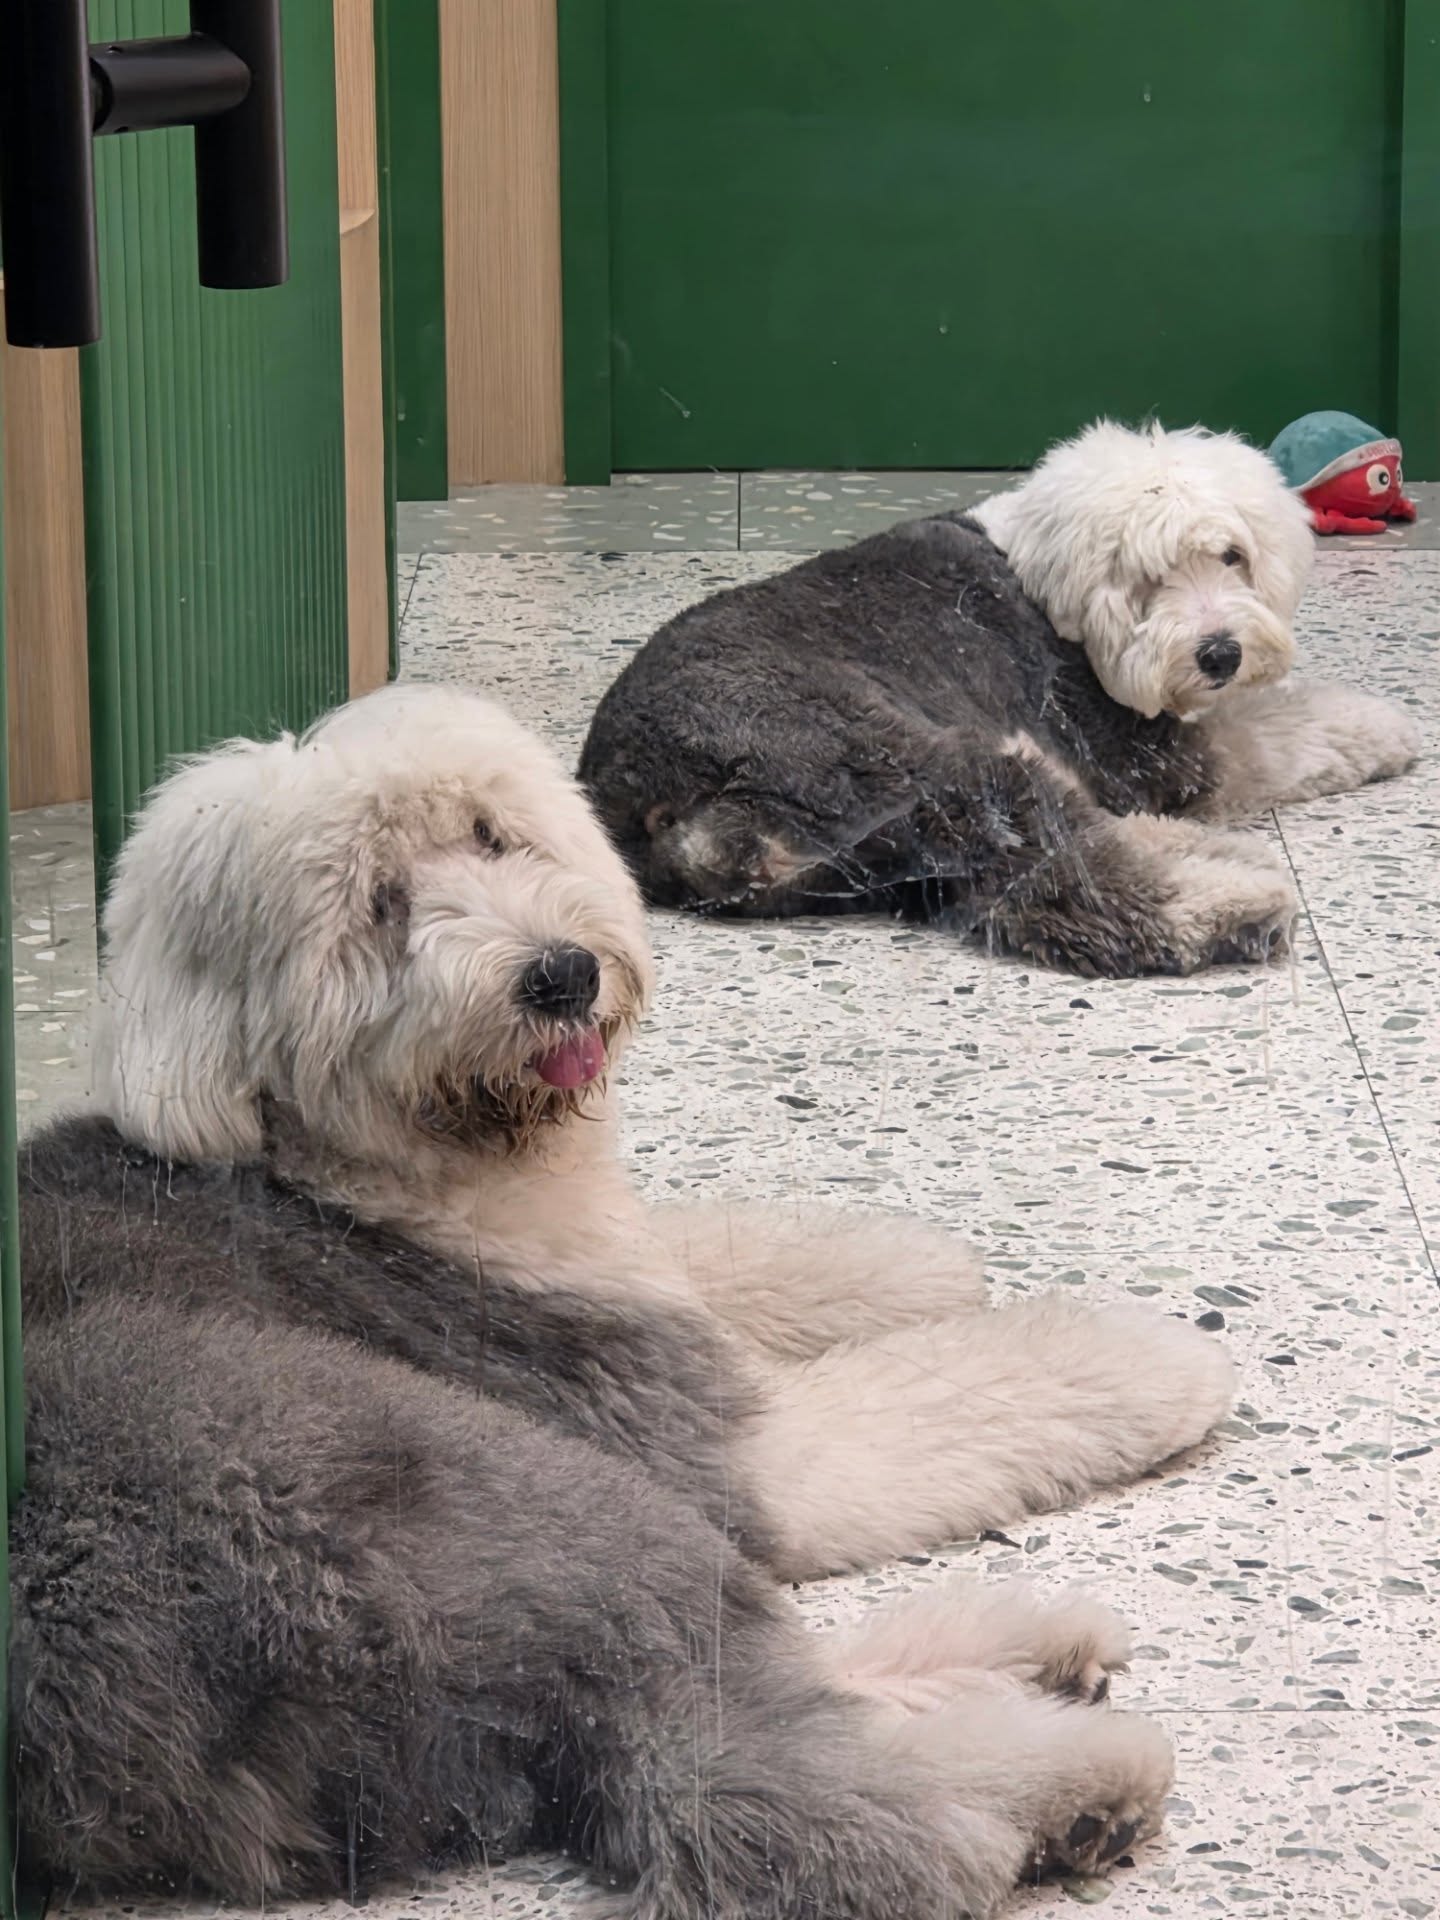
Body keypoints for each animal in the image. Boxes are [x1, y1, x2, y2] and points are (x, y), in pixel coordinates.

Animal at [14, 685, 1235, 1912]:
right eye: (379, 906)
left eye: (493, 836)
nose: (558, 975)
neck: (363, 1174)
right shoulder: (705, 1436)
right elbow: (956, 1388)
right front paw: (1147, 1349)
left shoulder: (629, 1278)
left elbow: (715, 1252)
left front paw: (911, 1259)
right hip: (526, 1495)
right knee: (776, 1777)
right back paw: (1073, 1784)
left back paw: (1037, 1652)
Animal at [578, 420, 1421, 977]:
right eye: (1148, 579)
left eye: (1232, 555)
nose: (1220, 654)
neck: (1051, 581)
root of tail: (642, 787)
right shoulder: (1140, 749)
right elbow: (1275, 731)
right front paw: (1385, 724)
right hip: (918, 767)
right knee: (1068, 887)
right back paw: (1231, 906)